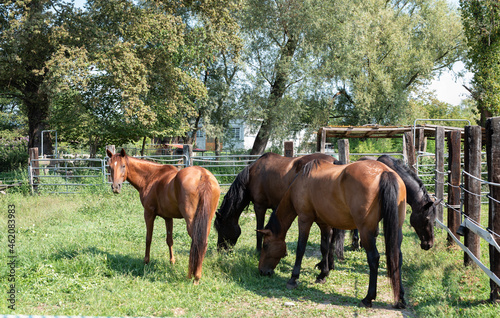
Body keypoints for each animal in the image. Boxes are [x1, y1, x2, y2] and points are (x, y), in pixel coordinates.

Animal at [106, 149, 220, 284]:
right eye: (110, 166)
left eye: (123, 166)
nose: (115, 187)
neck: (151, 177)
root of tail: (203, 175)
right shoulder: (168, 217)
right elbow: (169, 240)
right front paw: (172, 261)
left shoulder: (149, 213)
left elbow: (148, 238)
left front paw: (146, 261)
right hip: (206, 220)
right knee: (203, 243)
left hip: (192, 221)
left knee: (197, 242)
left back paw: (195, 276)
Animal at [260, 159, 408, 308]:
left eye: (265, 245)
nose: (262, 271)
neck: (301, 180)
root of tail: (384, 172)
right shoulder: (324, 224)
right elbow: (325, 248)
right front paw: (323, 274)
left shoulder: (304, 219)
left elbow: (300, 249)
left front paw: (293, 278)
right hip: (397, 229)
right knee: (398, 257)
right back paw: (400, 298)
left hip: (366, 231)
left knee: (374, 258)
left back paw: (368, 298)